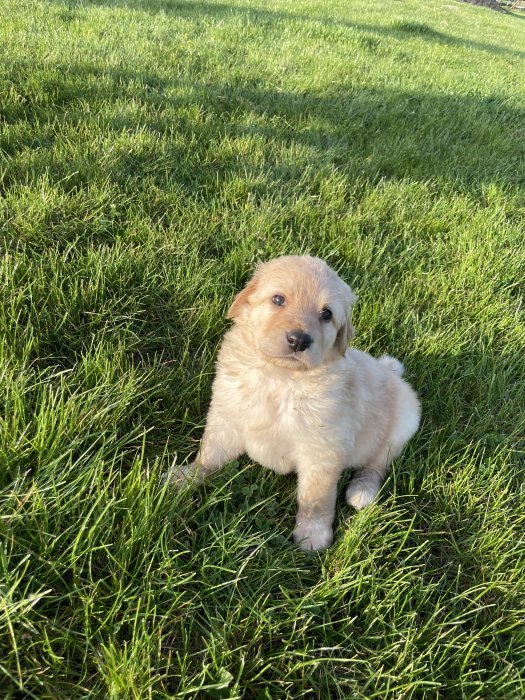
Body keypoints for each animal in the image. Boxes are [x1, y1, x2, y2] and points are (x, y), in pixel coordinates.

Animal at [172, 256, 420, 550]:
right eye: (278, 299)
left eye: (327, 314)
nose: (299, 340)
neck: (280, 377)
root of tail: (391, 371)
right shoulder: (227, 415)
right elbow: (210, 455)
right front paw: (184, 478)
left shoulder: (322, 449)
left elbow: (316, 497)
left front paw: (314, 535)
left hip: (404, 421)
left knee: (376, 464)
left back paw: (362, 490)